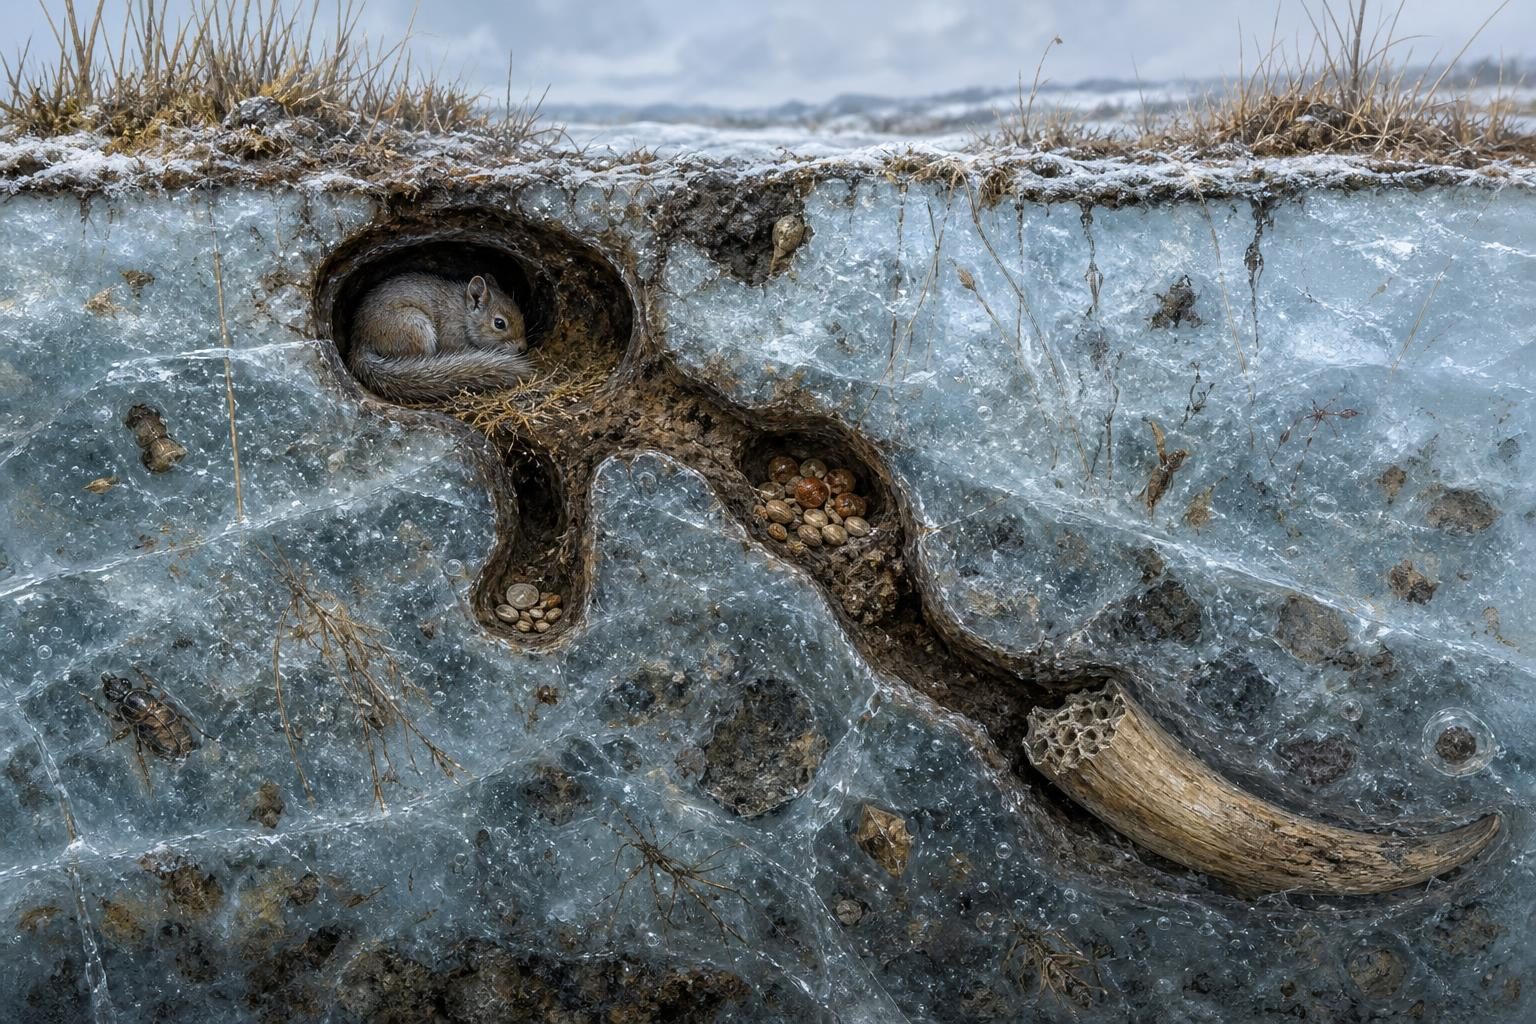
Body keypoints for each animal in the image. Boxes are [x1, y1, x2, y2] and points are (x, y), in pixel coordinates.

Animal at [346, 272, 533, 403]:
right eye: (499, 323)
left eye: (521, 313)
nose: (523, 348)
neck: (464, 314)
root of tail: (360, 341)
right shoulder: (452, 337)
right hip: (415, 329)